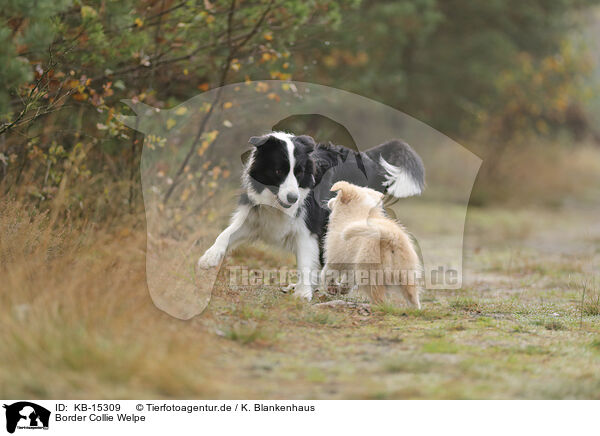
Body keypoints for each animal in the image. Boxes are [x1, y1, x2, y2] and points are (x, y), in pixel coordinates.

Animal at [197, 131, 422, 298]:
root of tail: (368, 157)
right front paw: (209, 257)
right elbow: (226, 233)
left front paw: (304, 293)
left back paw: (342, 286)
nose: (293, 198)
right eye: (278, 172)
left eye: (298, 173)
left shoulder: (307, 226)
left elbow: (306, 260)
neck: (276, 201)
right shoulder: (256, 216)